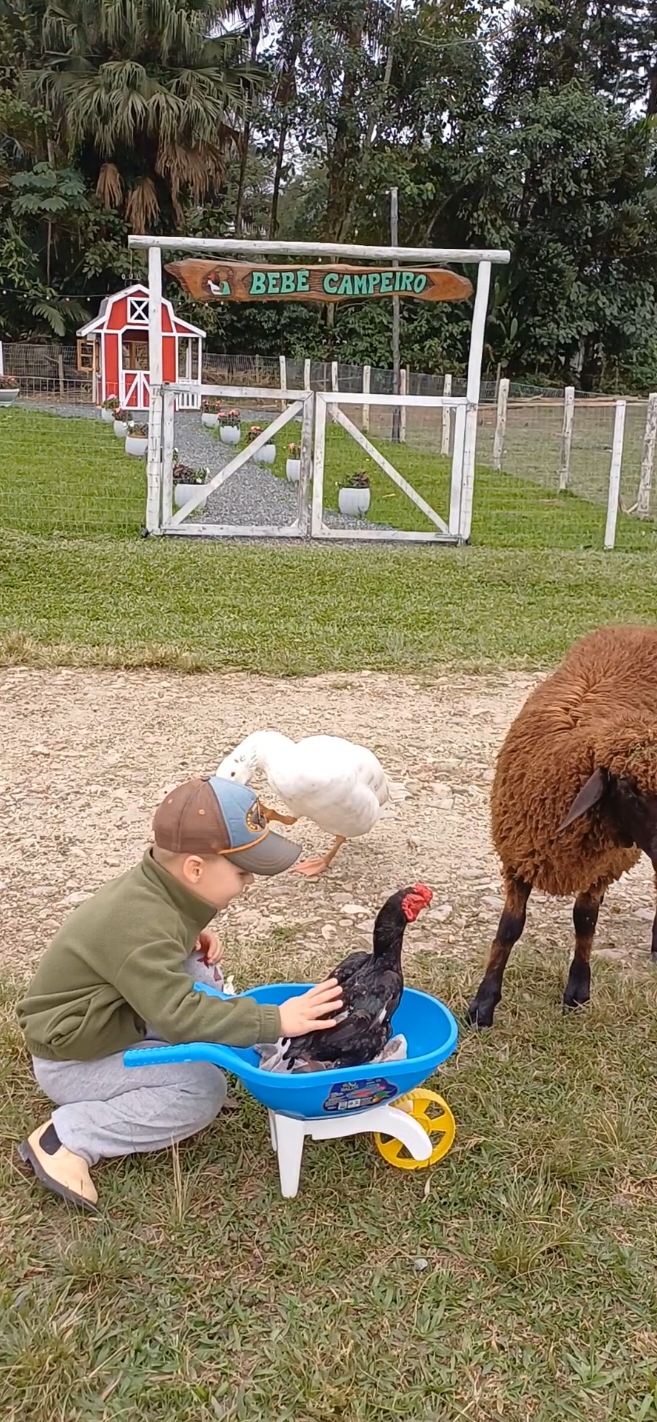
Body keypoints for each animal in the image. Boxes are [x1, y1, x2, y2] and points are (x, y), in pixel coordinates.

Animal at [466, 628, 657, 1029]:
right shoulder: (519, 856)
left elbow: (585, 922)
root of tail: (639, 628)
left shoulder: (603, 866)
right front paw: (483, 1005)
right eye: (630, 788)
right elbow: (509, 928)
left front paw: (578, 992)